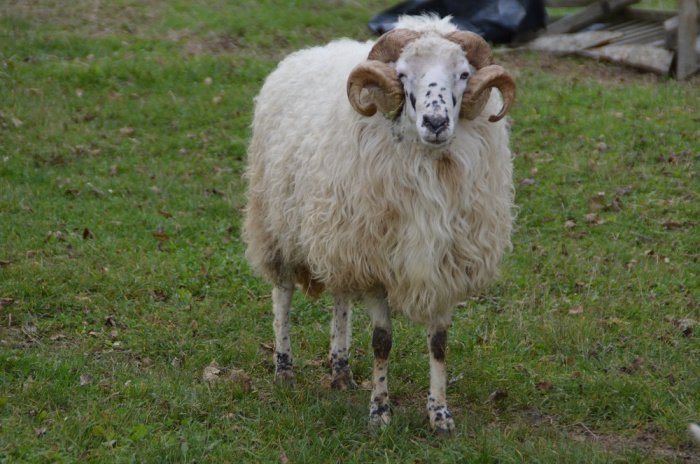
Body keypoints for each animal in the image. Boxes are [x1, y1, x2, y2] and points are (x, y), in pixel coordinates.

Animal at [243, 15, 516, 436]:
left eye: (464, 73)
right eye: (402, 74)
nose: (435, 122)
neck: (431, 170)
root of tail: (310, 52)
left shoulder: (443, 266)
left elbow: (439, 343)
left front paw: (440, 415)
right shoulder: (375, 265)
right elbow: (381, 341)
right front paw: (379, 412)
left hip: (339, 232)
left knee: (340, 297)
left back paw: (340, 370)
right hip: (277, 224)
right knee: (282, 295)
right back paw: (284, 369)